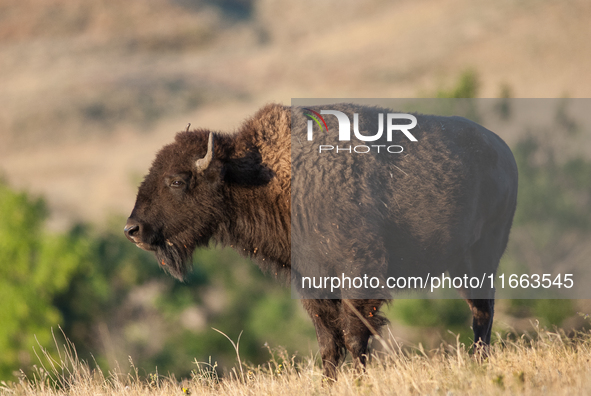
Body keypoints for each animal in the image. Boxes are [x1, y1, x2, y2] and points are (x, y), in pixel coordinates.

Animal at [125, 103, 520, 380]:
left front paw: (359, 380)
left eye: (177, 181)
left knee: (482, 311)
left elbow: (355, 334)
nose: (133, 230)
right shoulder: (311, 284)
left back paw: (479, 361)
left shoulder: (358, 276)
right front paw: (328, 382)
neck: (263, 175)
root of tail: (503, 151)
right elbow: (329, 342)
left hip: (481, 258)